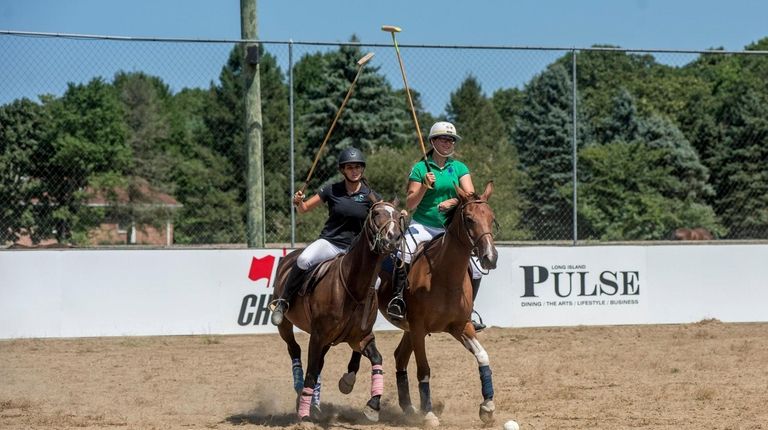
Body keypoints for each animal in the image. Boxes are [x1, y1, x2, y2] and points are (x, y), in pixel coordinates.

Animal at [274, 198, 408, 424]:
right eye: (376, 213)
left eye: (398, 215)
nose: (394, 237)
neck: (353, 287)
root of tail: (289, 256)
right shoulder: (318, 335)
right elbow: (312, 371)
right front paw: (304, 415)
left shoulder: (361, 336)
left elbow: (377, 359)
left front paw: (373, 406)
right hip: (286, 324)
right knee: (295, 350)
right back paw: (300, 390)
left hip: (327, 339)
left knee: (317, 361)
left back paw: (312, 402)